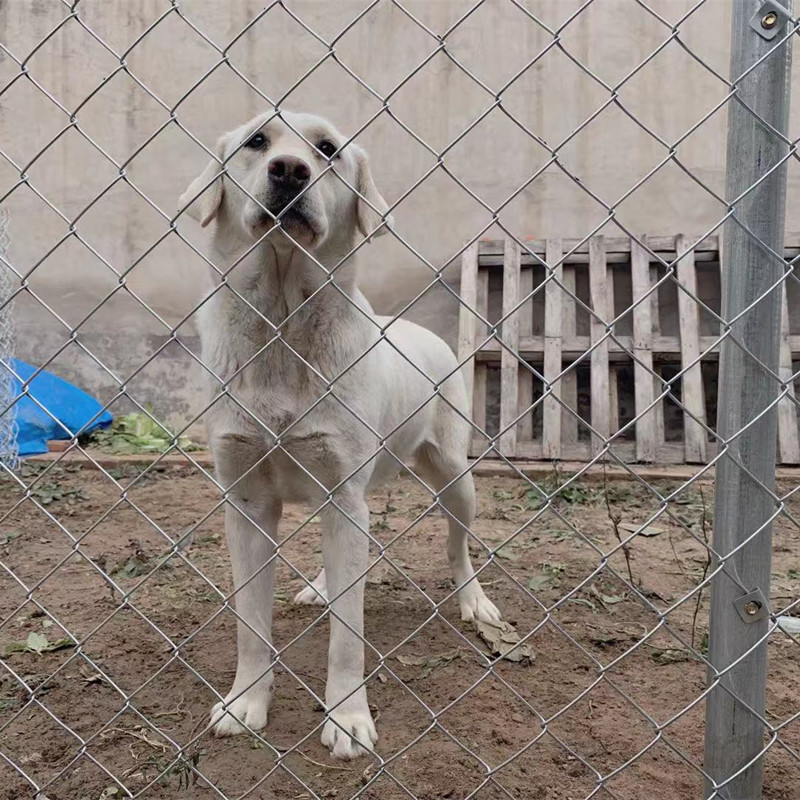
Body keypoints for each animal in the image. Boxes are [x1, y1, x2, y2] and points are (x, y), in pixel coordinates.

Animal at [180, 111, 500, 756]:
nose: (290, 170)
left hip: (454, 479)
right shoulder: (247, 503)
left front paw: (347, 717)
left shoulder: (344, 495)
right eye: (258, 142)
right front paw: (246, 702)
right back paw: (324, 586)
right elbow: (251, 624)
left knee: (458, 547)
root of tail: (420, 331)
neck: (282, 324)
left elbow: (348, 632)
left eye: (327, 151)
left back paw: (474, 601)